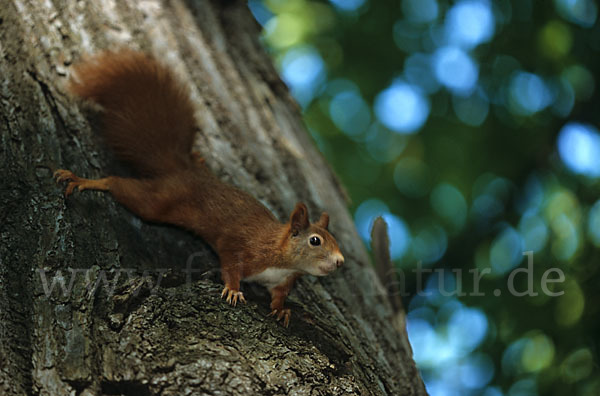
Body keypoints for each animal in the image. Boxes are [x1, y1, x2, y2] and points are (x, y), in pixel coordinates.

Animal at [54, 50, 344, 328]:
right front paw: (233, 290)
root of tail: (184, 170)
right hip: (159, 201)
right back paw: (83, 180)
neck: (281, 259)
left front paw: (281, 310)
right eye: (315, 240)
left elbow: (278, 297)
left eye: (334, 239)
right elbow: (230, 267)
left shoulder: (282, 281)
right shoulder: (241, 248)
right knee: (120, 186)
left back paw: (198, 157)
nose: (340, 261)